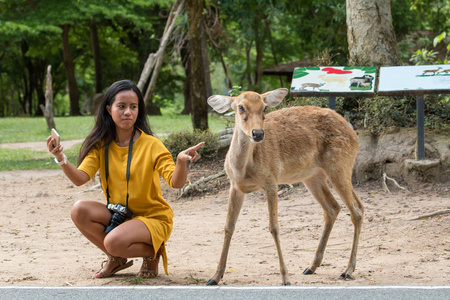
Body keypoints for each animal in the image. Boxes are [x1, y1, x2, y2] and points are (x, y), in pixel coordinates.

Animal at [206, 87, 364, 286]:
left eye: (264, 108)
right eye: (240, 107)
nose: (258, 133)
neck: (243, 169)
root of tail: (354, 134)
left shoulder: (271, 181)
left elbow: (274, 227)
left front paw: (285, 278)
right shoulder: (235, 186)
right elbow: (228, 226)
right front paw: (214, 277)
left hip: (340, 165)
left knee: (356, 210)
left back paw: (348, 270)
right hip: (313, 176)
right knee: (333, 208)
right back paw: (311, 267)